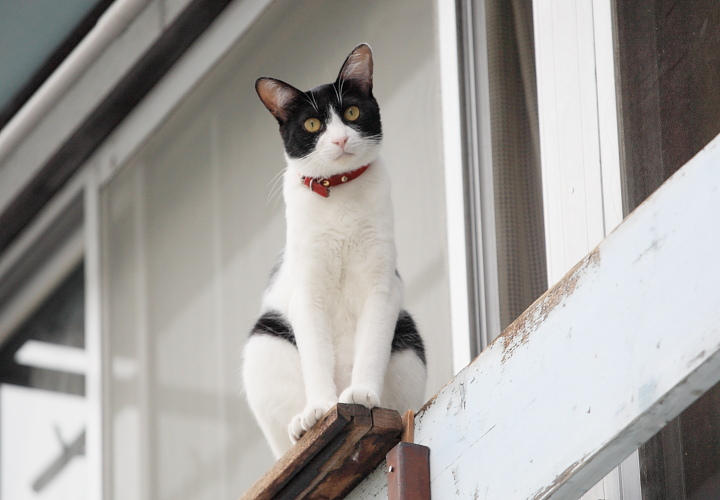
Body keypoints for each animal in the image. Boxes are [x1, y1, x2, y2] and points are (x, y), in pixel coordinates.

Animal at [243, 45, 428, 458]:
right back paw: (300, 424)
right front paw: (321, 409)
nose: (341, 139)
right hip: (264, 339)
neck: (339, 192)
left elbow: (372, 344)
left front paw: (362, 393)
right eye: (313, 125)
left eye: (352, 113)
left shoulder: (382, 285)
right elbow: (315, 353)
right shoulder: (306, 290)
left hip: (408, 340)